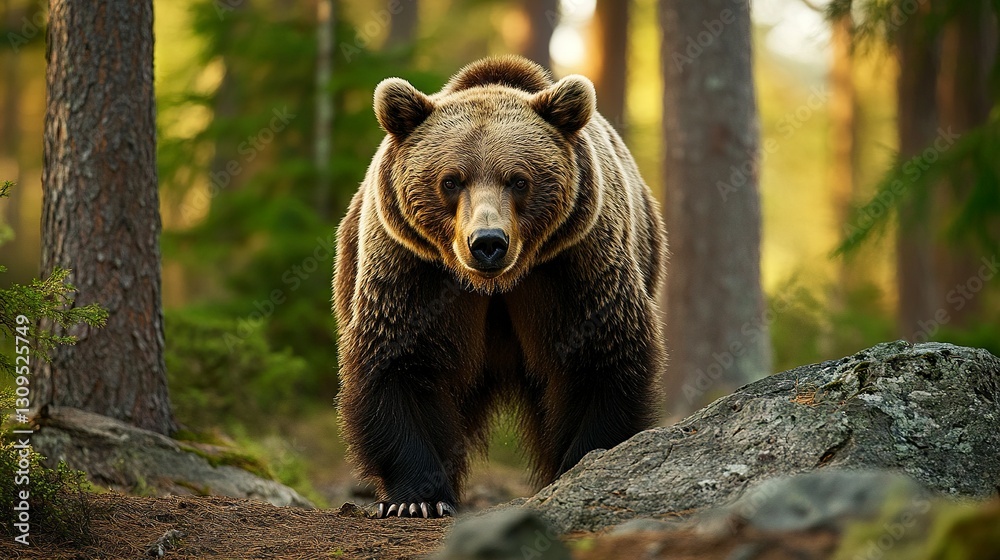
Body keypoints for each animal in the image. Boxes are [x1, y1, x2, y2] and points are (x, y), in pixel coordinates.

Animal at [334, 55, 666, 519]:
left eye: (519, 179)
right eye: (451, 180)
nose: (488, 242)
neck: (495, 286)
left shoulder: (574, 264)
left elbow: (600, 356)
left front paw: (579, 466)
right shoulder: (414, 269)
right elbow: (401, 360)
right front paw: (418, 499)